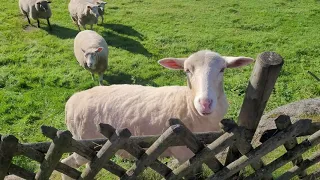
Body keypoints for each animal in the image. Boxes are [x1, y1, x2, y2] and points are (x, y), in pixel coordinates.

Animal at [61, 50, 254, 179]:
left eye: (222, 69)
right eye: (187, 70)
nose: (205, 103)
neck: (187, 103)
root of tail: (72, 100)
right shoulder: (183, 153)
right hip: (84, 145)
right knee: (66, 165)